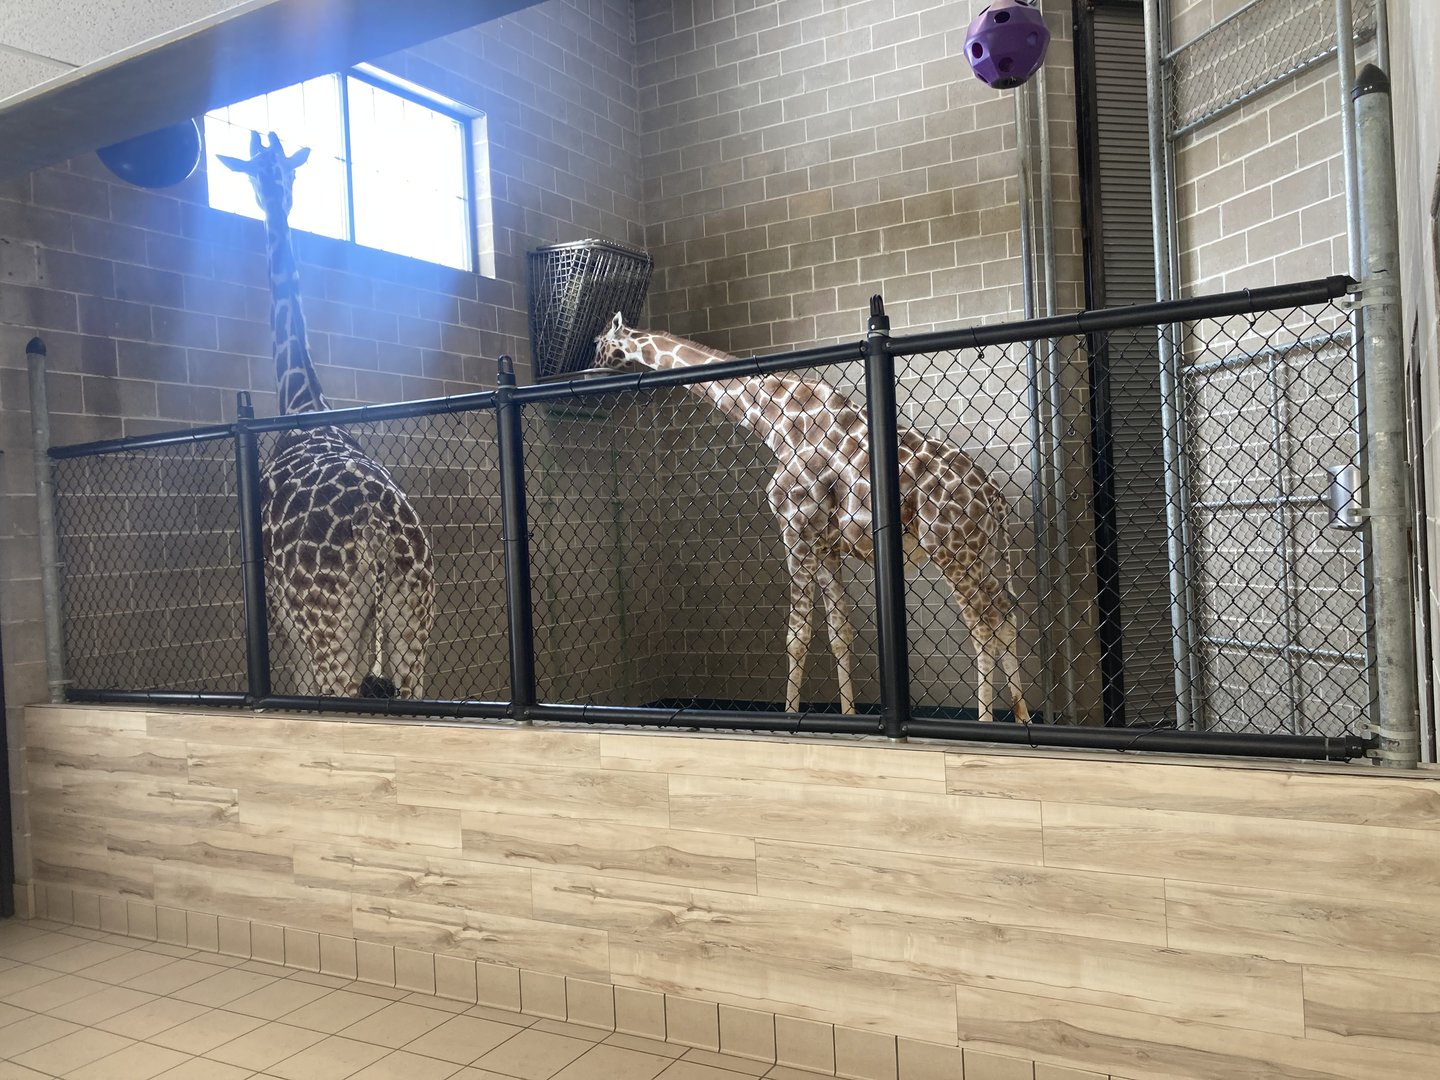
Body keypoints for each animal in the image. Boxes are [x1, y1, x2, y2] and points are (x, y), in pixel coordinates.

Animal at [219, 132, 433, 698]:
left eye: (256, 171)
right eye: (273, 172)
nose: (272, 196)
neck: (303, 405)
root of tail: (377, 530)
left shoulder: (282, 620)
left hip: (326, 619)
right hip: (410, 614)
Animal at [592, 312, 1031, 723]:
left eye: (599, 343)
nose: (590, 368)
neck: (778, 419)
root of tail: (994, 494)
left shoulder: (795, 529)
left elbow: (797, 635)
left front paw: (790, 717)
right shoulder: (826, 544)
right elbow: (840, 631)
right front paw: (849, 716)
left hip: (951, 551)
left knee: (983, 625)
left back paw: (987, 723)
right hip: (983, 553)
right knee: (1007, 614)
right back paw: (1022, 715)